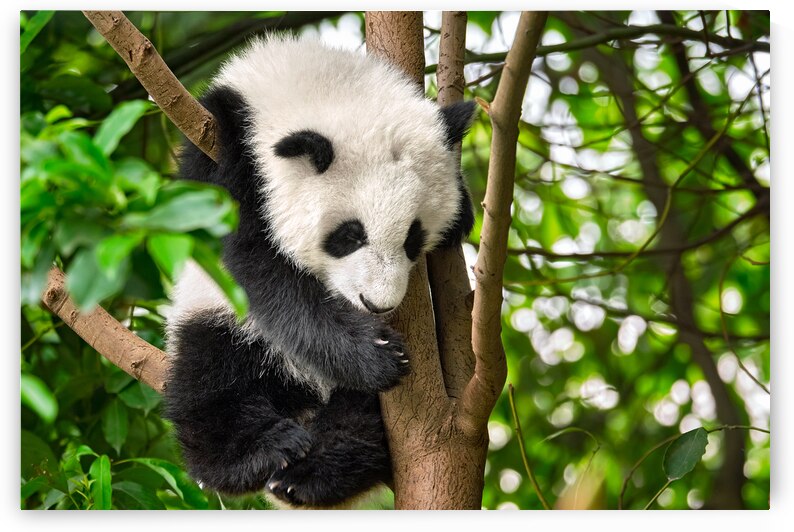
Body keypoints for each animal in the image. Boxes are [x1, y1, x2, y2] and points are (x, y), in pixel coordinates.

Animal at [163, 35, 476, 509]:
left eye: (413, 237)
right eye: (349, 235)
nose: (376, 304)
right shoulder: (221, 148)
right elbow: (260, 271)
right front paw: (373, 353)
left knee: (360, 419)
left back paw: (314, 472)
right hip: (216, 322)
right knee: (209, 382)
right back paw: (264, 451)